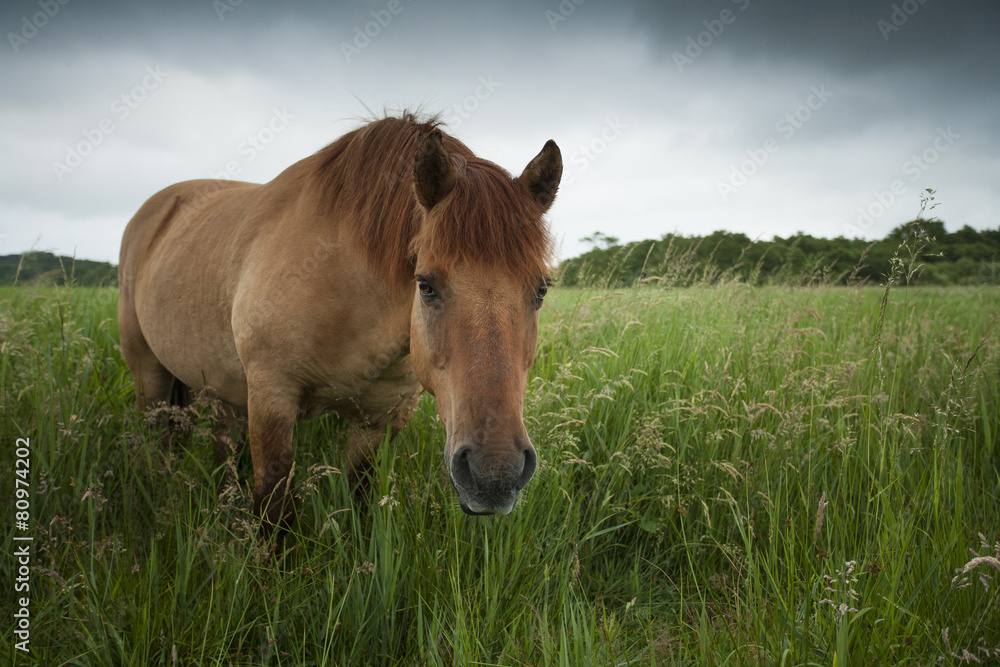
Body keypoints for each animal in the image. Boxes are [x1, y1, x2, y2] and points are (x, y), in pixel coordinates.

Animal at [117, 113, 562, 528]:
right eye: (425, 285)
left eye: (541, 290)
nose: (495, 473)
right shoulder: (271, 401)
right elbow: (275, 511)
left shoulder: (379, 420)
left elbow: (358, 498)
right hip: (148, 373)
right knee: (155, 439)